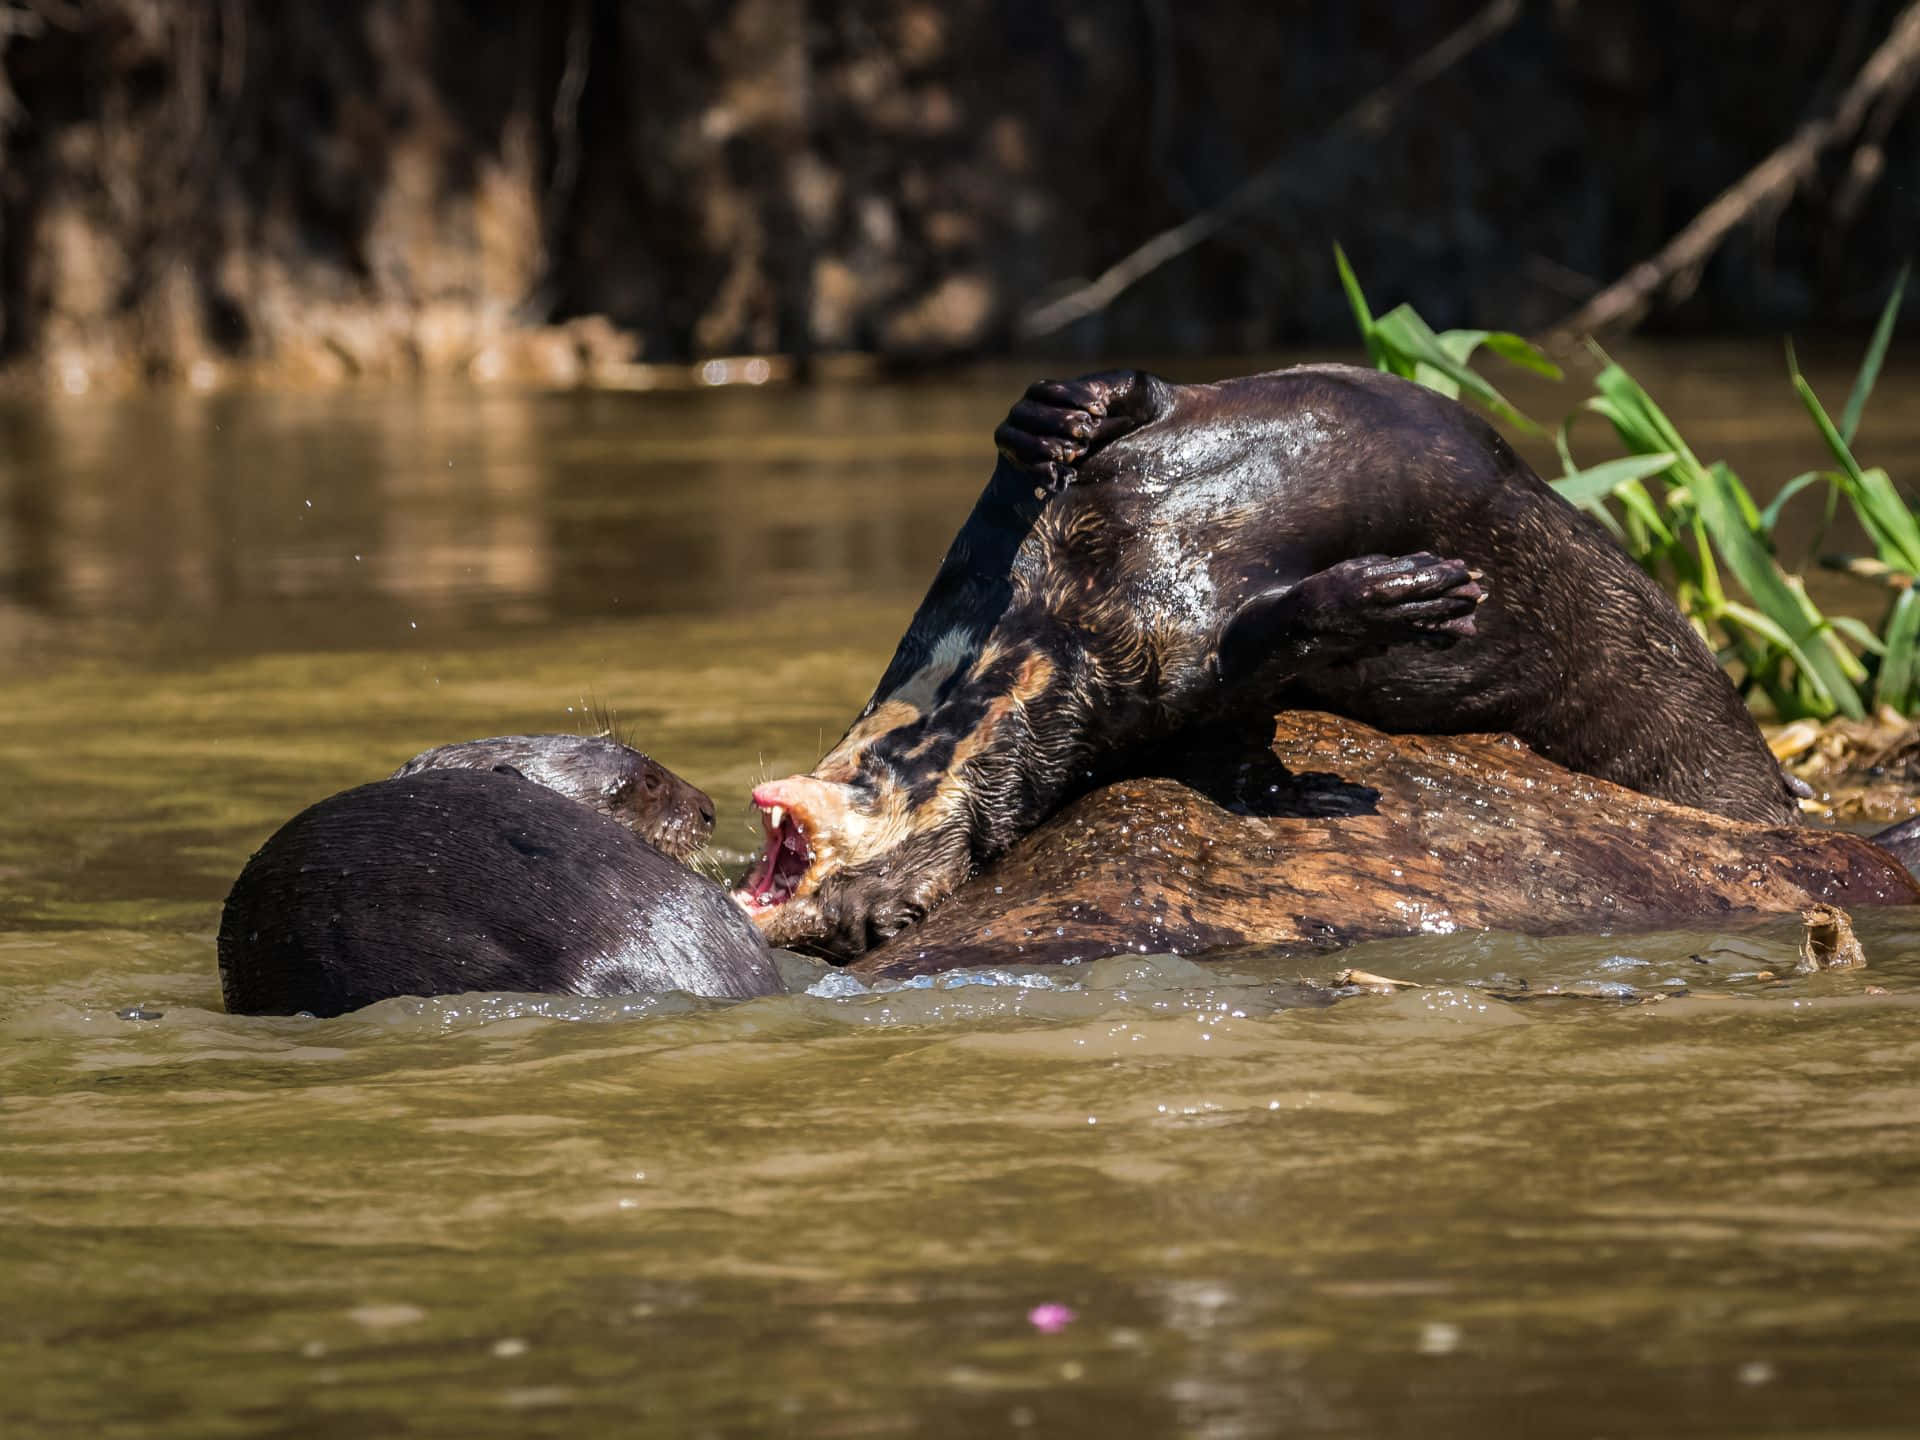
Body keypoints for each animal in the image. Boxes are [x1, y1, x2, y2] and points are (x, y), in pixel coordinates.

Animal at [741, 366, 1804, 963]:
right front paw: (1384, 611)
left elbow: (1150, 401)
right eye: (864, 929)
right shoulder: (1149, 677)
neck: (1037, 630)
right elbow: (1242, 682)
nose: (762, 918)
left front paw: (1058, 411)